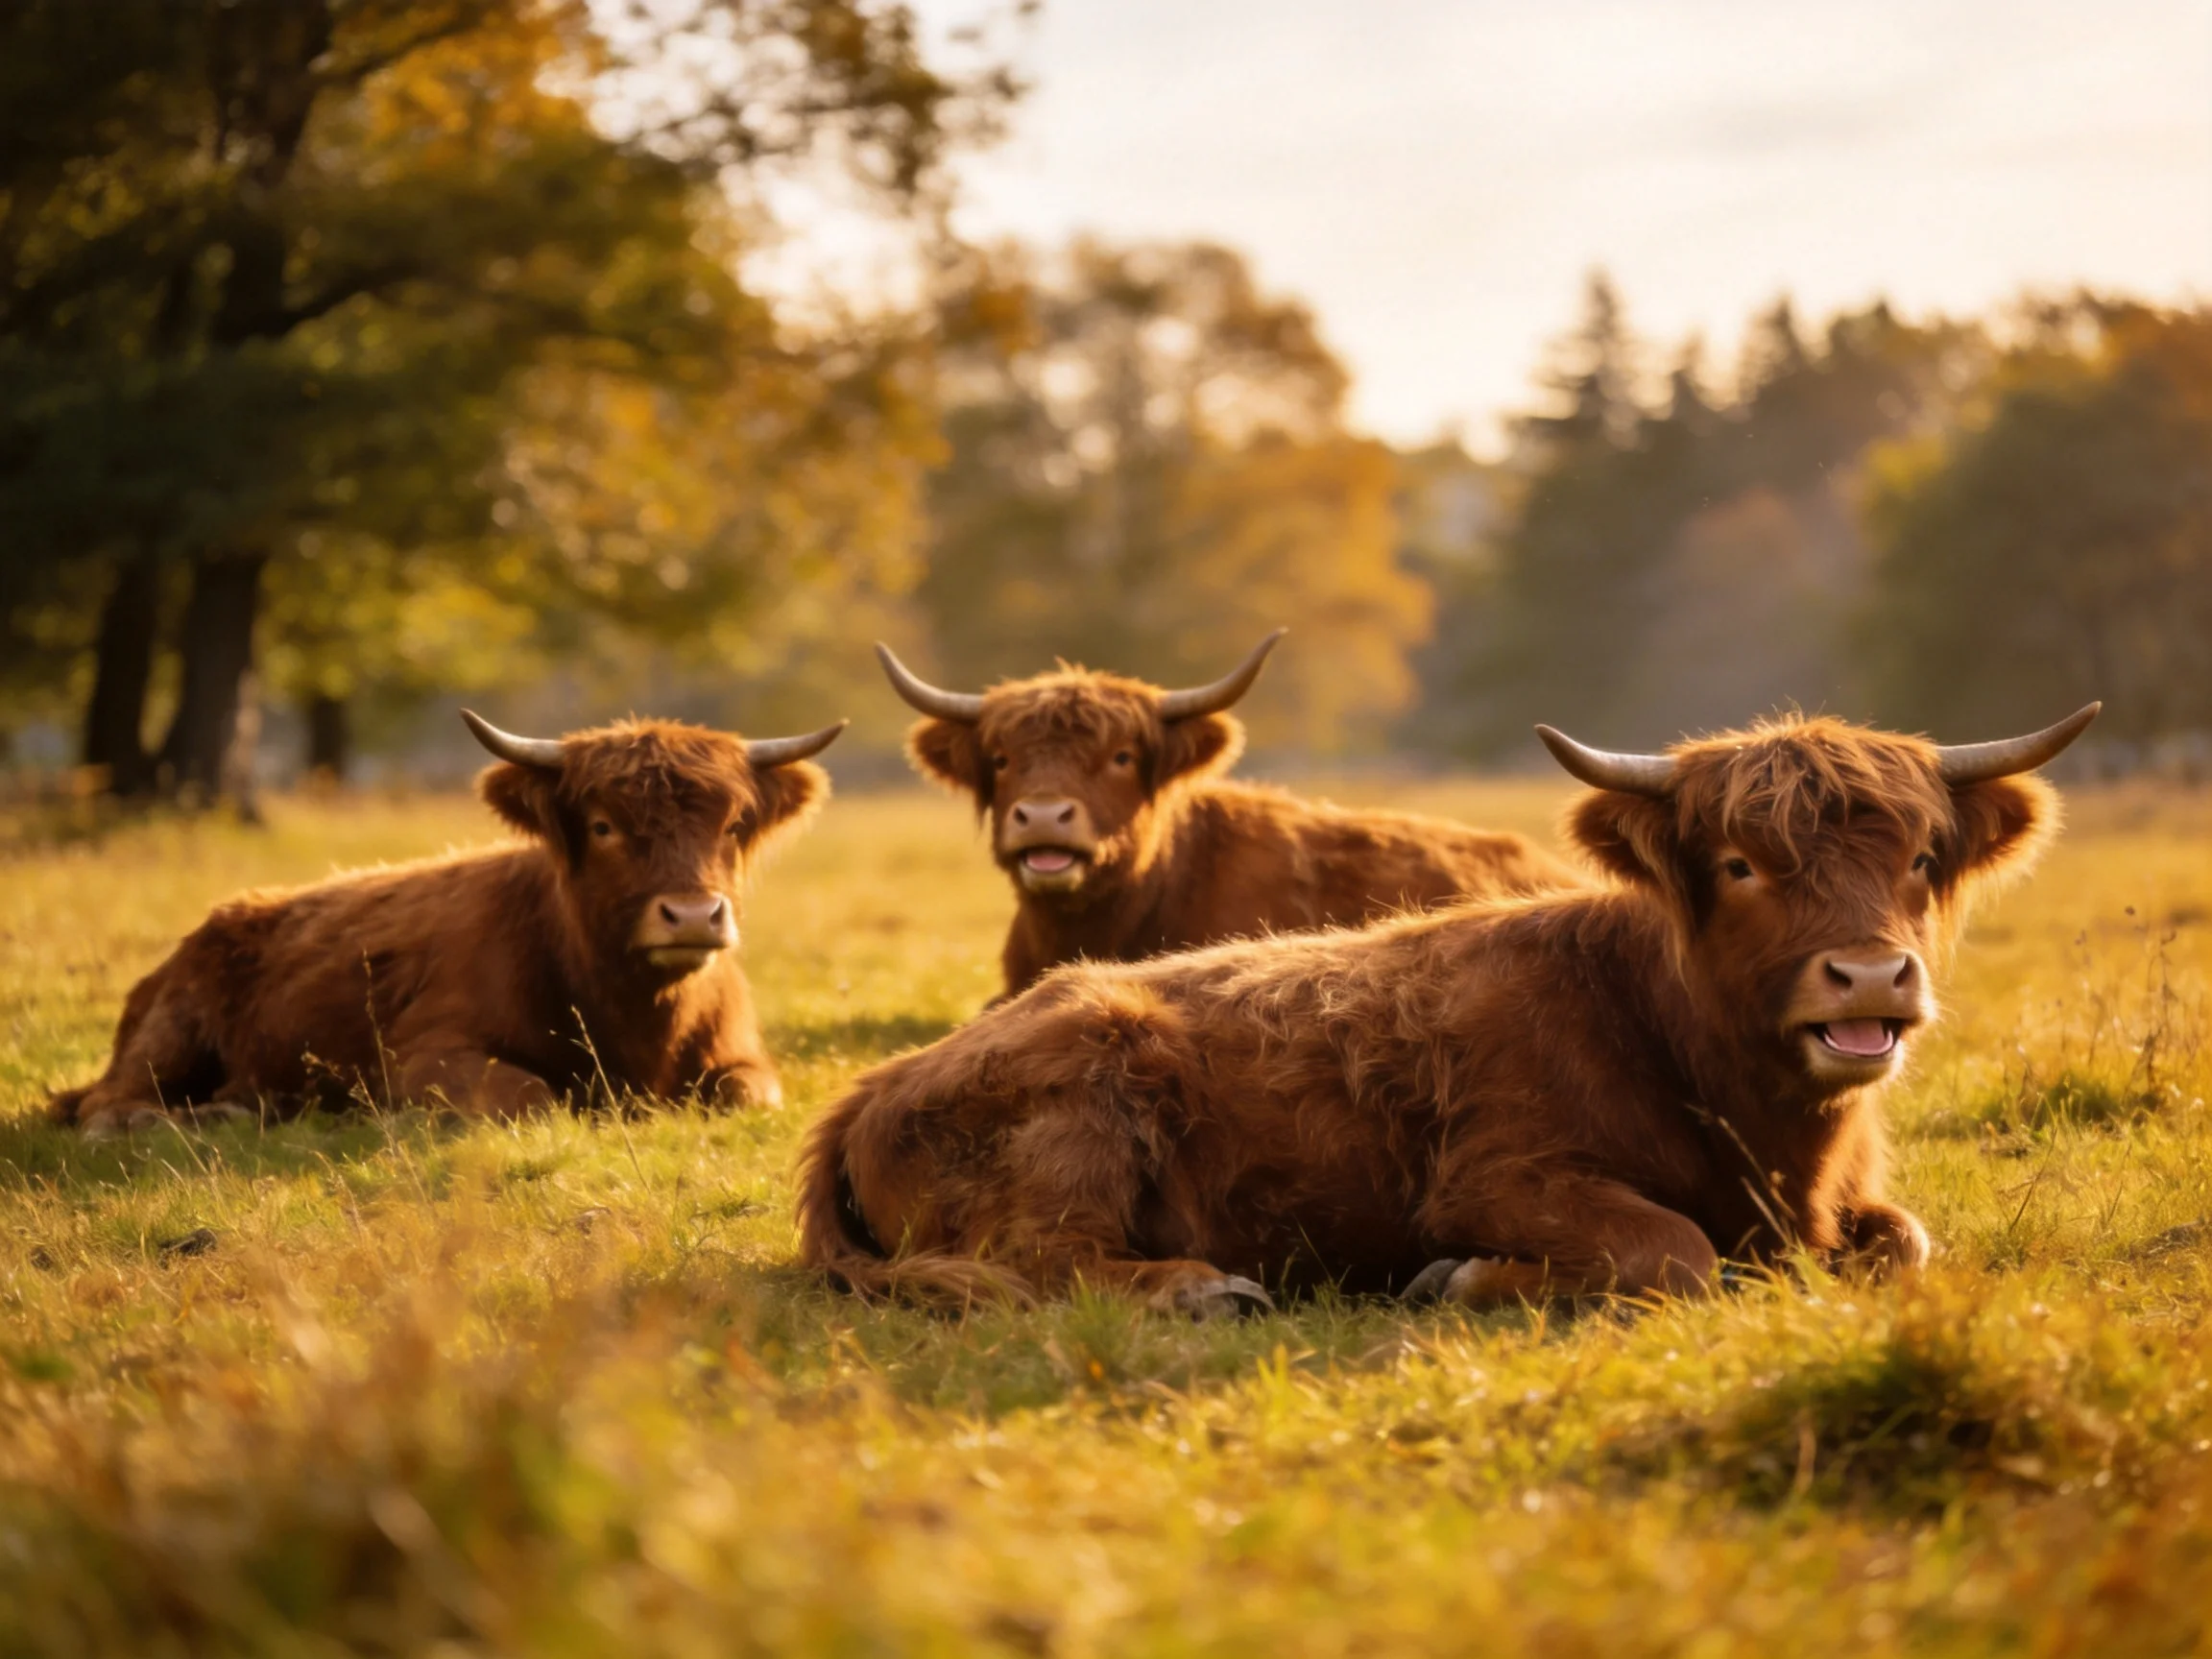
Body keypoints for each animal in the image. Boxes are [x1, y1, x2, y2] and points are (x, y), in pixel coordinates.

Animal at [49, 710, 846, 1136]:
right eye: (603, 826)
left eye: (733, 823)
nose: (691, 915)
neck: (638, 1022)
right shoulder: (422, 1055)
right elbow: (532, 1095)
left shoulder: (745, 1058)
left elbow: (744, 1094)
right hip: (170, 1031)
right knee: (106, 1102)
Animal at [799, 704, 2098, 1313]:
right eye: (1738, 864)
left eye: (1920, 857)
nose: (1871, 978)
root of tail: (868, 1090)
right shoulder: (1495, 1177)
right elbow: (1672, 1251)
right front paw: (1460, 1281)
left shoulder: (1851, 1206)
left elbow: (1907, 1241)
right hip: (1085, 1103)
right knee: (1042, 1254)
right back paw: (1201, 1290)